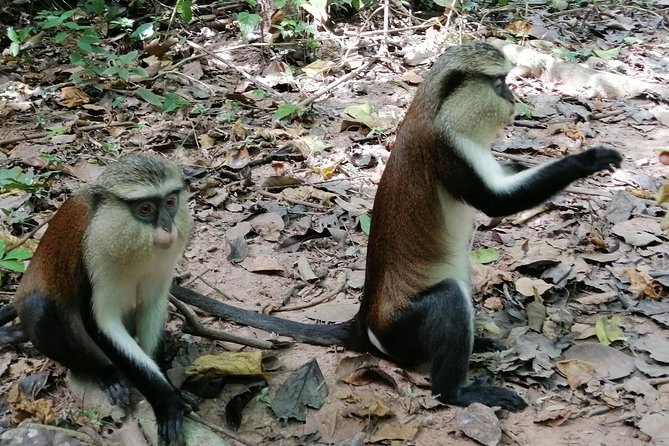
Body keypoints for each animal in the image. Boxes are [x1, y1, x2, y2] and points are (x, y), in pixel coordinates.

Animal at [1, 154, 193, 446]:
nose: (167, 229)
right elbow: (102, 321)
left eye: (170, 203)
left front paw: (168, 385)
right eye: (145, 209)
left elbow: (152, 306)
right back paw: (106, 373)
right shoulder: (94, 263)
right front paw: (166, 401)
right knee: (41, 308)